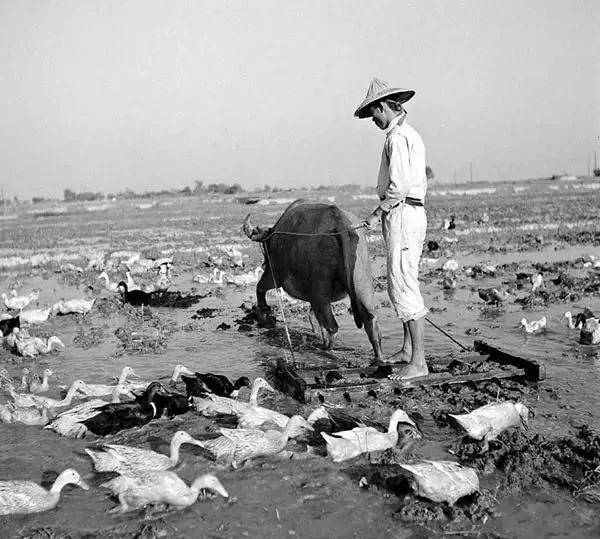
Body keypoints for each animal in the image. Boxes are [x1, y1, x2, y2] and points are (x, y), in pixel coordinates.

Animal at [241, 200, 382, 360]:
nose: (264, 263)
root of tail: (339, 222)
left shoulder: (275, 274)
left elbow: (259, 288)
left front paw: (264, 310)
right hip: (362, 285)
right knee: (371, 324)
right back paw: (378, 357)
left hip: (318, 293)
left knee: (332, 326)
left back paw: (325, 349)